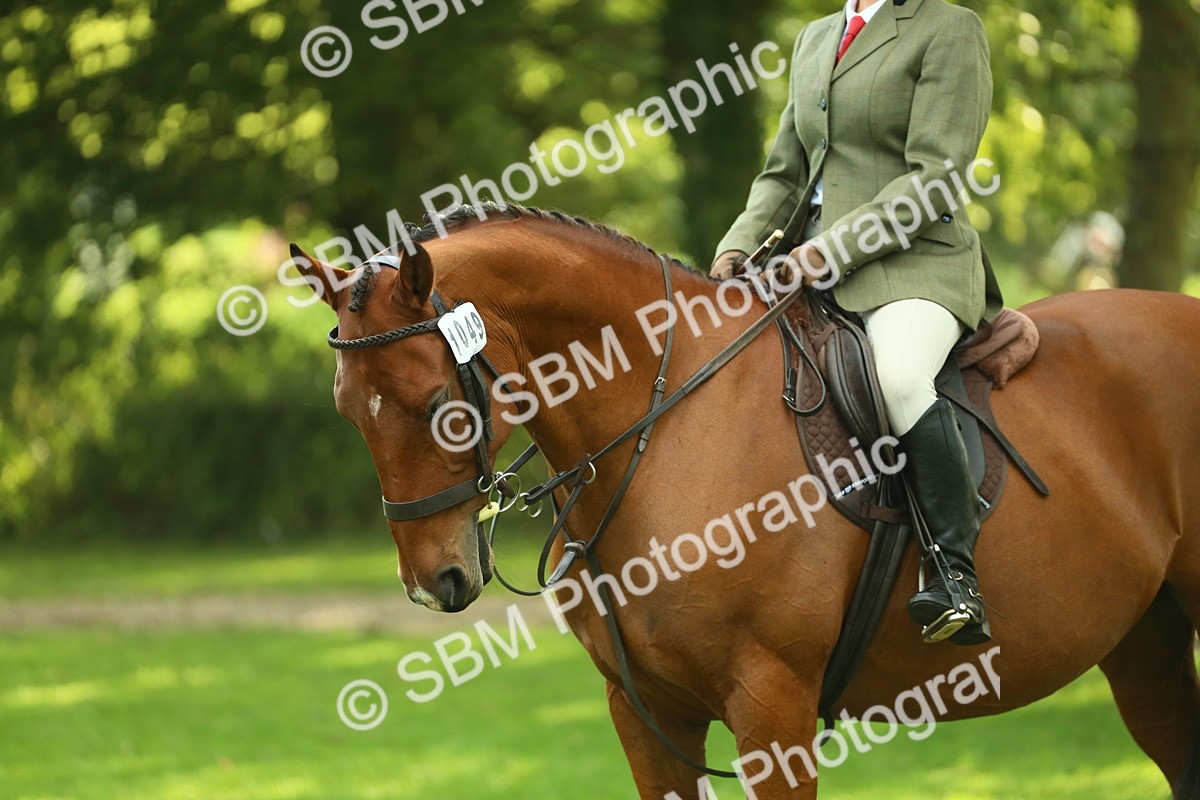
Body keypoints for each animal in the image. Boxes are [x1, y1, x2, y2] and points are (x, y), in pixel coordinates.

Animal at [290, 204, 1200, 799]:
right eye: (346, 411)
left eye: (436, 402)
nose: (433, 582)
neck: (668, 429)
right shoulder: (646, 715)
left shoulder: (774, 711)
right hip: (1146, 640)